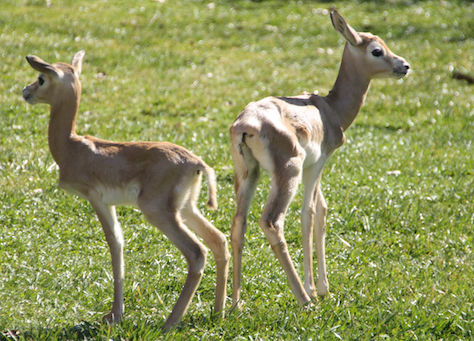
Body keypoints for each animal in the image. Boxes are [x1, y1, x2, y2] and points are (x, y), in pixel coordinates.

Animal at [22, 49, 230, 330]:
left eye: (41, 78)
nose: (26, 91)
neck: (71, 147)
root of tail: (197, 163)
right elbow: (119, 244)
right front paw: (114, 314)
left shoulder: (96, 199)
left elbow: (114, 242)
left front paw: (114, 316)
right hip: (186, 208)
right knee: (219, 240)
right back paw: (219, 313)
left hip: (156, 211)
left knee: (197, 252)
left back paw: (169, 323)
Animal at [228, 10, 410, 308]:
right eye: (376, 50)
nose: (403, 66)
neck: (330, 109)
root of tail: (246, 124)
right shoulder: (317, 164)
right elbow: (309, 214)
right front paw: (315, 289)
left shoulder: (313, 167)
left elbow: (322, 210)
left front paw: (324, 288)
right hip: (288, 173)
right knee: (272, 221)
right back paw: (304, 300)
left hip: (248, 174)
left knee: (238, 223)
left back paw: (232, 303)